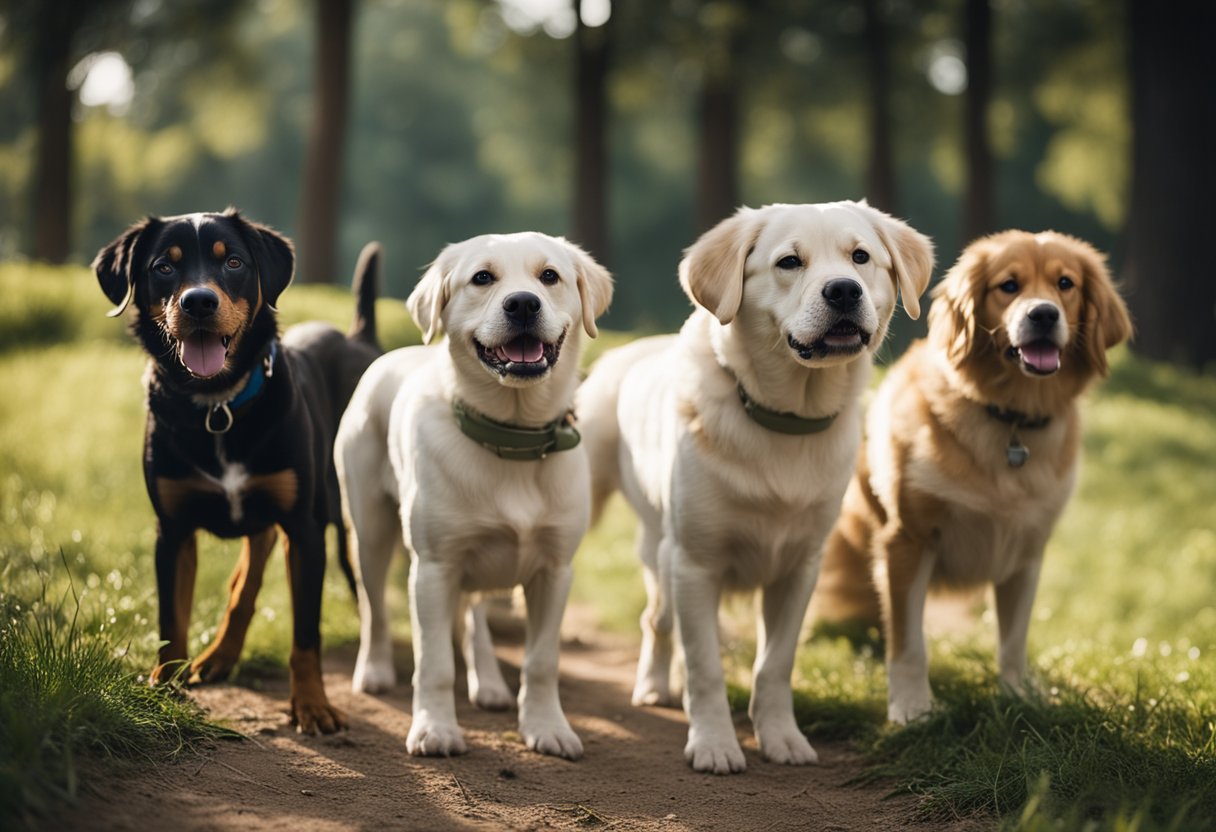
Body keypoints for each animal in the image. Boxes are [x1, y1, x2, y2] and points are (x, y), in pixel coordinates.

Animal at [94, 209, 379, 734]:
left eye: (234, 263)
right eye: (164, 266)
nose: (199, 301)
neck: (217, 405)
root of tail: (359, 339)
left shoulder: (304, 529)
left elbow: (306, 633)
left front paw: (313, 704)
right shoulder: (172, 529)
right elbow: (172, 618)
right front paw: (166, 684)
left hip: (350, 518)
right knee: (246, 578)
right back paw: (220, 656)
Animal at [338, 232, 612, 759]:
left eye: (550, 276)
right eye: (482, 277)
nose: (523, 303)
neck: (513, 439)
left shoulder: (554, 571)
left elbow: (541, 661)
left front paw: (547, 727)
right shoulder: (434, 567)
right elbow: (434, 663)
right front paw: (435, 729)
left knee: (474, 617)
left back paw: (488, 683)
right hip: (371, 533)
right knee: (374, 608)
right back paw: (375, 671)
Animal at [578, 201, 929, 773]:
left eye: (860, 257)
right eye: (789, 262)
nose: (843, 291)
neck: (786, 421)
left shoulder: (798, 568)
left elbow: (774, 665)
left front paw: (782, 738)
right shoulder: (697, 563)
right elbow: (707, 668)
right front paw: (715, 745)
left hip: (663, 548)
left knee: (657, 619)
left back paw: (657, 683)